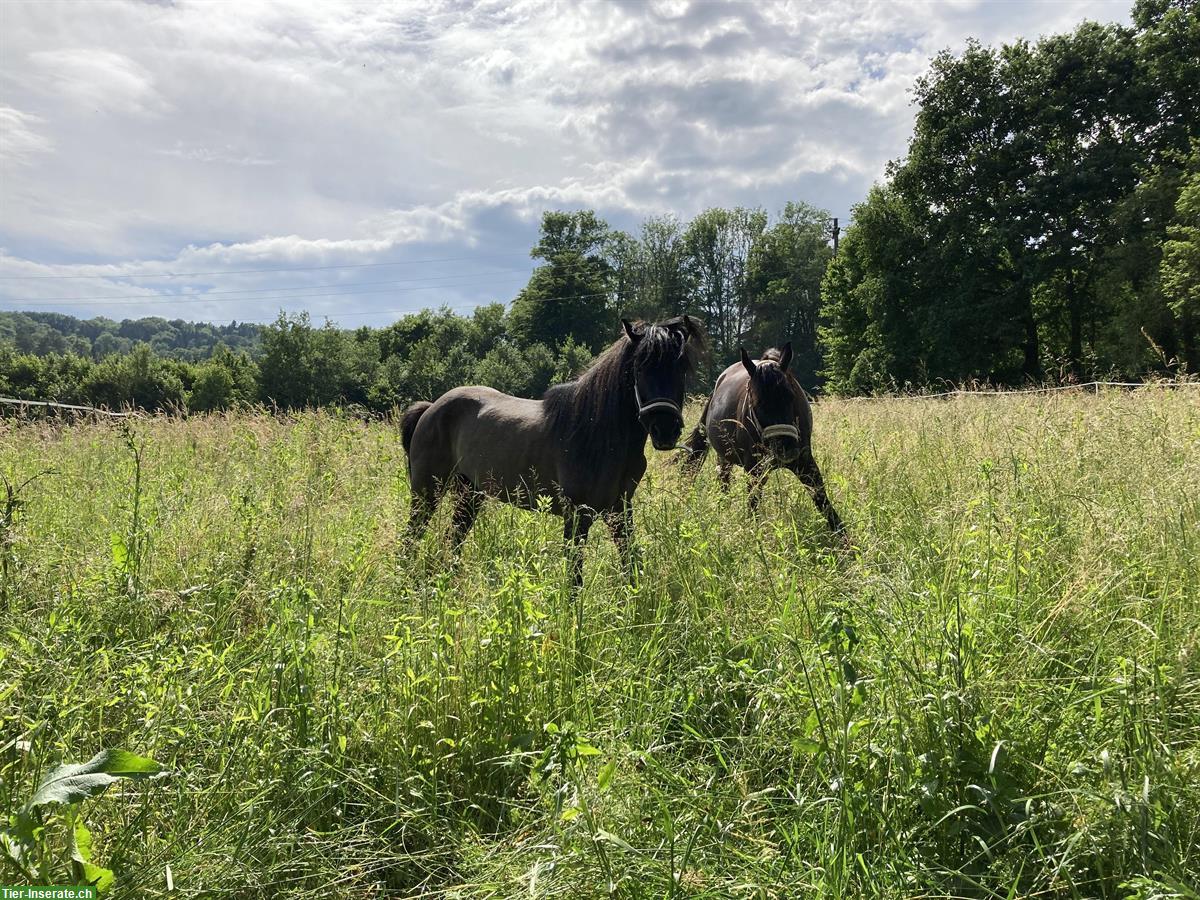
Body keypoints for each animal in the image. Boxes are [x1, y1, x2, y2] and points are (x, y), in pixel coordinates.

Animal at [403, 316, 700, 585]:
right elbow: (575, 577)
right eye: (639, 368)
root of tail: (431, 408)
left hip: (469, 494)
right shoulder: (577, 516)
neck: (597, 433)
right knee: (411, 537)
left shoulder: (620, 512)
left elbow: (631, 563)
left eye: (681, 369)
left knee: (453, 537)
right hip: (427, 491)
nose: (665, 430)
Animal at [686, 340, 844, 532]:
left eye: (791, 396)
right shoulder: (754, 470)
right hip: (725, 459)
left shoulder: (806, 462)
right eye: (756, 403)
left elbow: (825, 504)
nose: (786, 450)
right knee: (724, 482)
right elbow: (752, 506)